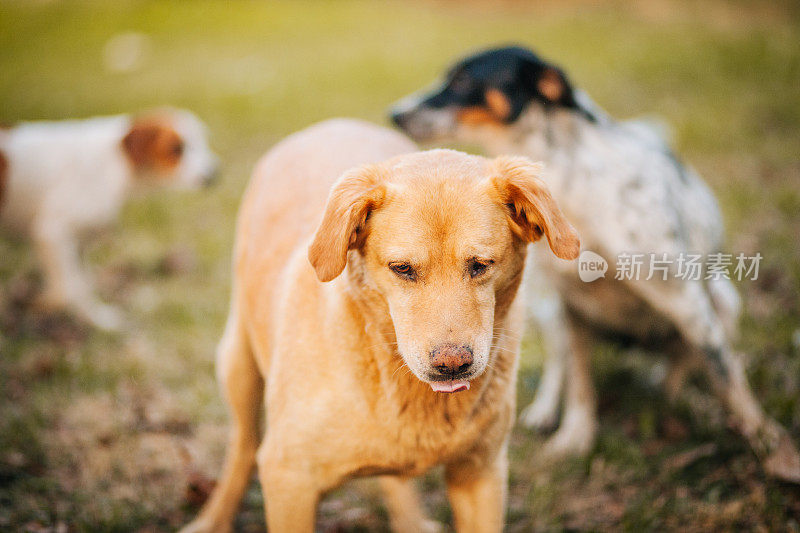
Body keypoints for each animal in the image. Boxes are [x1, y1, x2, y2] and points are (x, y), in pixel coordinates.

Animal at [0, 108, 219, 328]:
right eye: (176, 148)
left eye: (203, 142)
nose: (214, 174)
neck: (113, 161)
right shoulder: (51, 232)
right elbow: (72, 288)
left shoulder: (77, 241)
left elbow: (80, 283)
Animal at [184, 120, 580, 532]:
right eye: (402, 268)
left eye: (481, 264)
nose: (452, 365)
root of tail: (334, 123)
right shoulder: (289, 480)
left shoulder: (481, 475)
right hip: (238, 364)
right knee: (243, 446)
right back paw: (213, 518)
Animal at [392, 45, 800, 482]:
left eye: (464, 80)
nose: (394, 113)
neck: (572, 185)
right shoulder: (572, 306)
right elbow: (579, 383)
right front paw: (575, 437)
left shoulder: (686, 302)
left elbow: (729, 380)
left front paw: (769, 444)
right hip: (547, 309)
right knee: (560, 364)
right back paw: (546, 410)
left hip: (722, 302)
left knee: (686, 360)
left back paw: (671, 390)